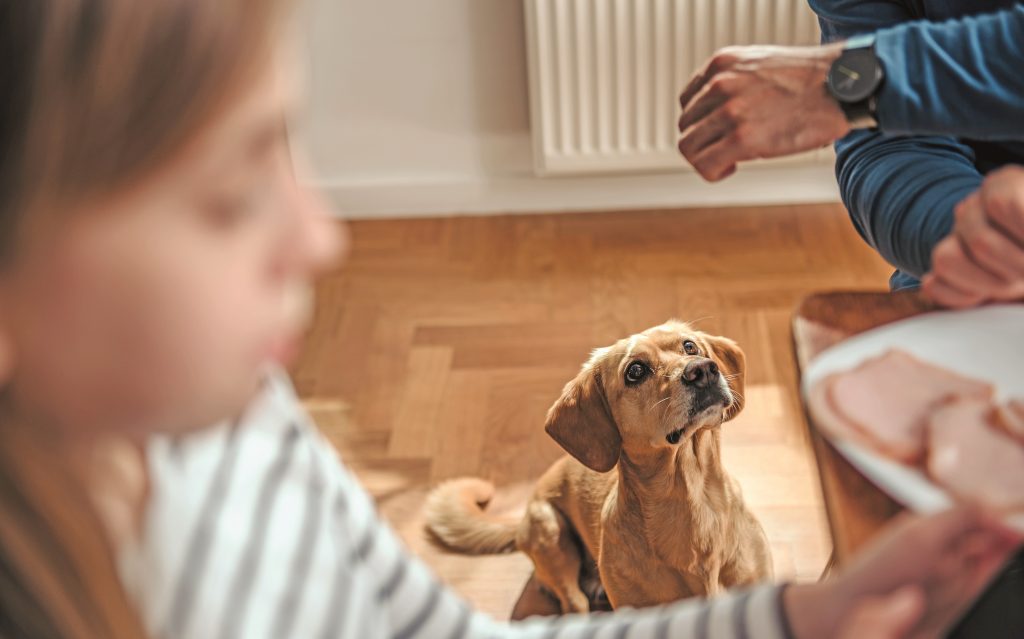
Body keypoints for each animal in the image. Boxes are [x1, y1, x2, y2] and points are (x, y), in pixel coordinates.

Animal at [421, 321, 770, 610]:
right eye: (635, 371)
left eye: (689, 346)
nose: (703, 370)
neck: (692, 497)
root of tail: (520, 520)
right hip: (549, 530)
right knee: (572, 602)